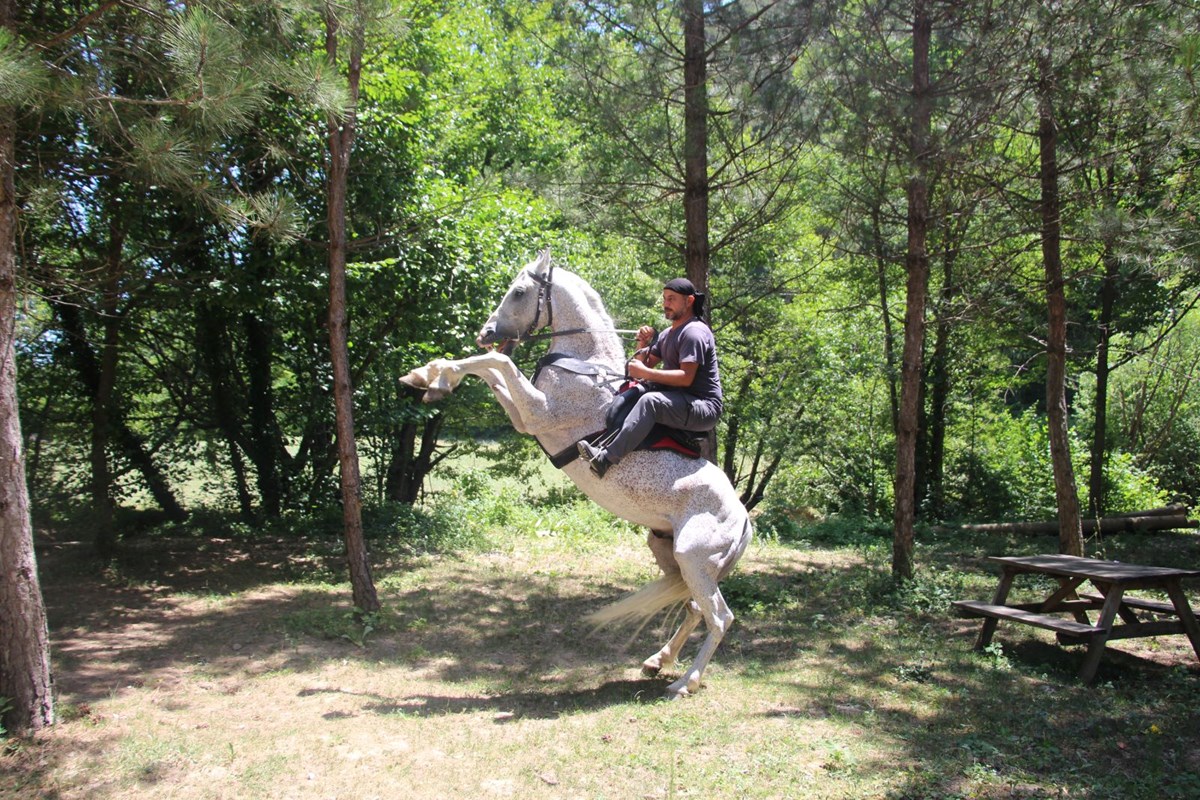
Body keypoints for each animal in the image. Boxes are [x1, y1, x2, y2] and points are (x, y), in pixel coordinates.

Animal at [400, 250, 748, 700]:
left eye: (519, 291)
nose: (485, 332)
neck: (585, 365)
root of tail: (744, 519)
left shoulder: (538, 412)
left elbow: (497, 361)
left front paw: (433, 375)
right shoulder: (524, 417)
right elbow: (492, 370)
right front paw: (430, 376)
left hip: (694, 558)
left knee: (720, 617)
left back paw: (685, 683)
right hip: (674, 557)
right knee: (693, 608)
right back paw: (659, 660)